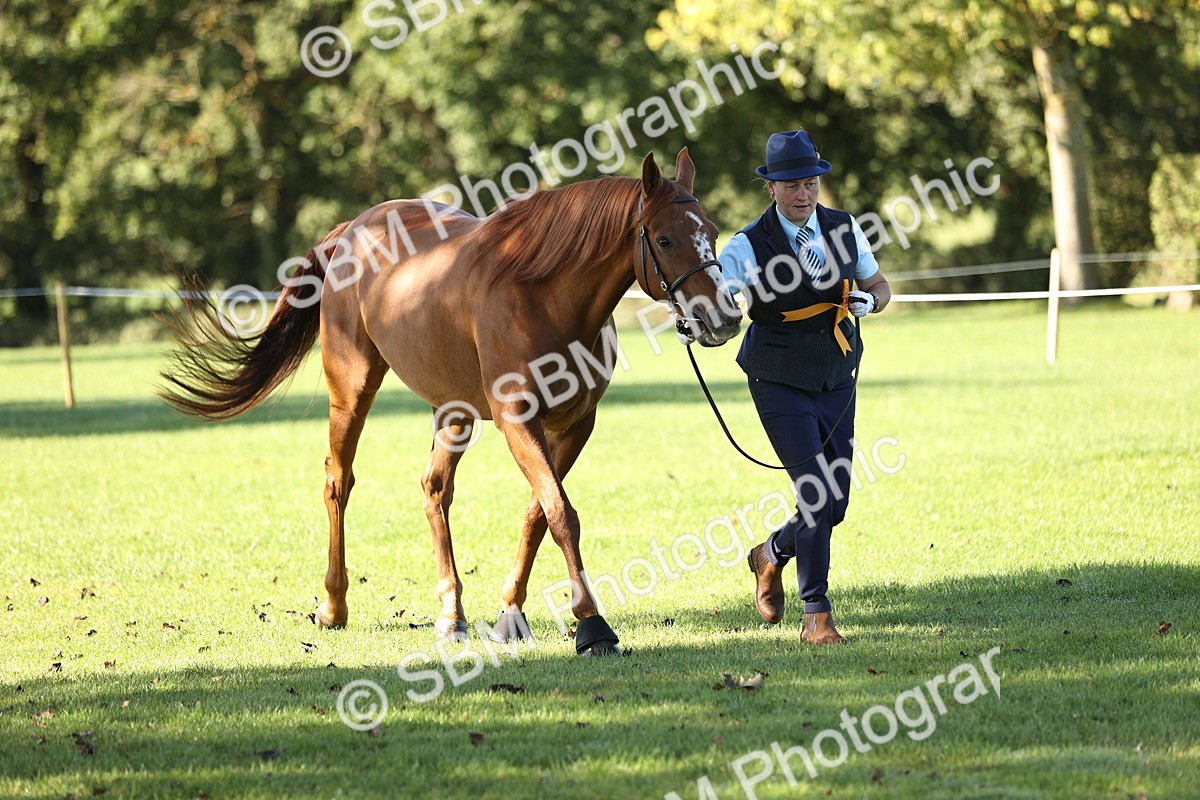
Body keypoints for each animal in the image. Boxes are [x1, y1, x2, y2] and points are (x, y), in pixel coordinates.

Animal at [160, 148, 742, 655]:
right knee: (338, 483)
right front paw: (592, 625)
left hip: (454, 411)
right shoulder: (517, 421)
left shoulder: (574, 426)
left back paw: (451, 613)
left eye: (712, 234)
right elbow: (560, 513)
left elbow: (537, 513)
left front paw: (510, 614)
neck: (543, 295)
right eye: (664, 238)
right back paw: (334, 606)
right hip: (351, 393)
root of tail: (353, 231)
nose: (724, 318)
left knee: (435, 491)